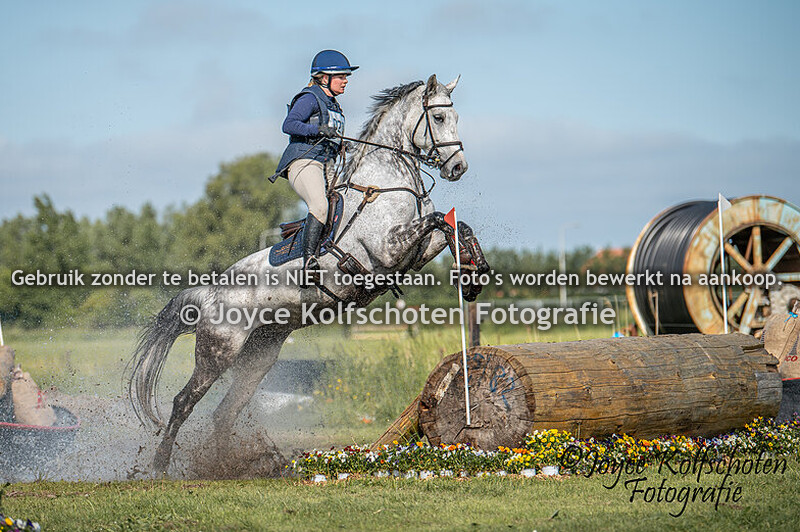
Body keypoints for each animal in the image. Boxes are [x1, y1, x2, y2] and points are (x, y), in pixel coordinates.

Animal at [129, 74, 490, 472]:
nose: (458, 168)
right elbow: (439, 219)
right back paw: (161, 464)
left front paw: (474, 273)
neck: (386, 183)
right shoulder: (386, 250)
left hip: (260, 354)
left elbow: (454, 226)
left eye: (455, 116)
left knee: (225, 412)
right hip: (218, 351)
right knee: (184, 402)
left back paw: (233, 465)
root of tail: (209, 293)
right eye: (439, 117)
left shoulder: (416, 254)